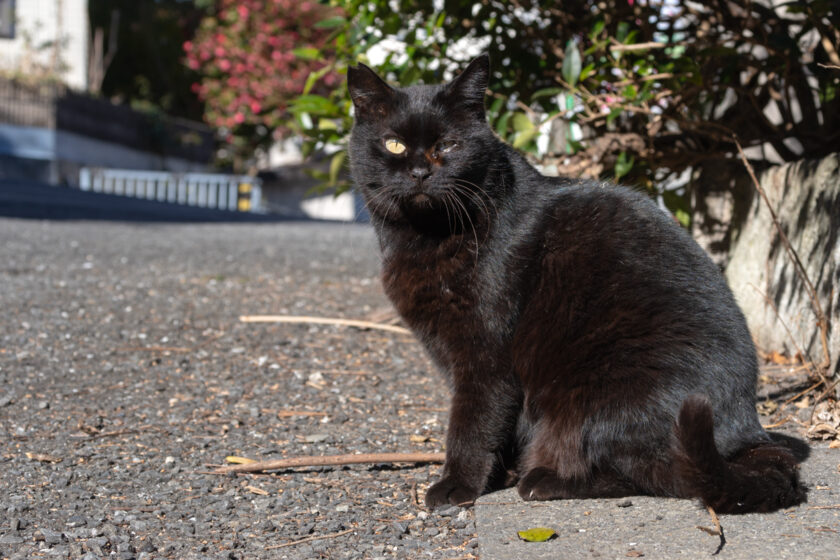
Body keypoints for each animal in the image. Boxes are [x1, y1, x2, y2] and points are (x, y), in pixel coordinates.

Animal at [344, 54, 804, 516]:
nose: (420, 172)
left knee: (658, 473)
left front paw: (458, 485)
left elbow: (472, 423)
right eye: (394, 144)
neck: (426, 238)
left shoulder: (485, 352)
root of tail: (750, 432)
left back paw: (543, 479)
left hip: (599, 396)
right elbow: (496, 424)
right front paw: (495, 474)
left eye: (448, 146)